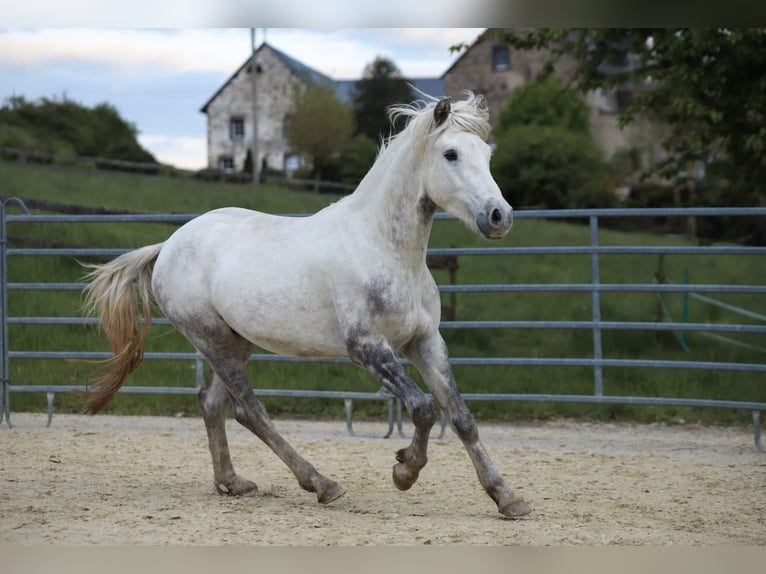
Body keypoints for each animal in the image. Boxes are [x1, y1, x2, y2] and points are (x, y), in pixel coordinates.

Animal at [79, 92, 536, 520]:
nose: (499, 216)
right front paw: (404, 471)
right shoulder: (367, 348)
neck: (383, 248)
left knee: (214, 404)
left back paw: (232, 482)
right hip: (210, 338)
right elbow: (423, 407)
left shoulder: (425, 342)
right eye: (451, 154)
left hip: (235, 341)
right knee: (251, 410)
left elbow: (460, 416)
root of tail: (169, 245)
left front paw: (508, 497)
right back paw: (322, 484)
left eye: (487, 155)